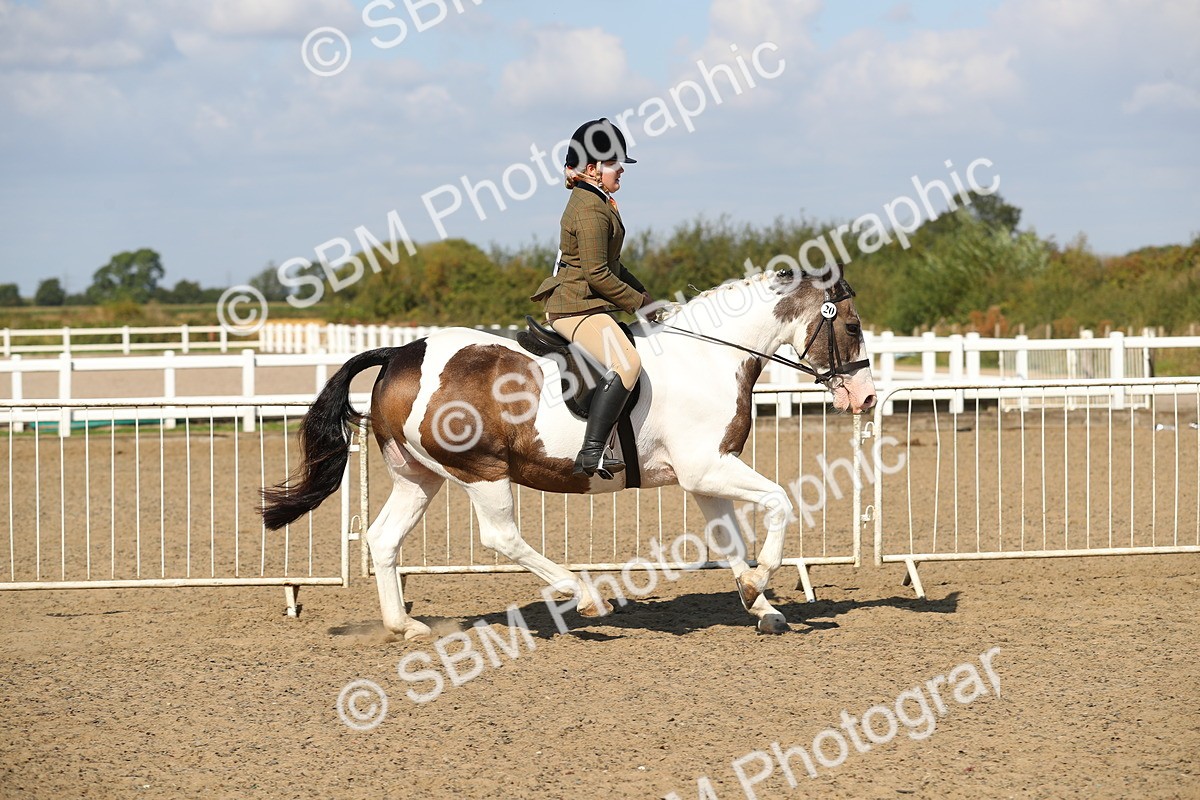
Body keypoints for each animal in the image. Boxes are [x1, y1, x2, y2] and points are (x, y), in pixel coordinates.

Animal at [261, 268, 876, 636]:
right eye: (851, 325)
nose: (866, 397)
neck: (709, 357)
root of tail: (400, 353)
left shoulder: (705, 476)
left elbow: (731, 541)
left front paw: (759, 603)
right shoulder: (710, 468)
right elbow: (779, 504)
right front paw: (764, 582)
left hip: (419, 476)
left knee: (385, 538)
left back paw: (404, 627)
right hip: (481, 469)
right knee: (501, 537)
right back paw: (582, 596)